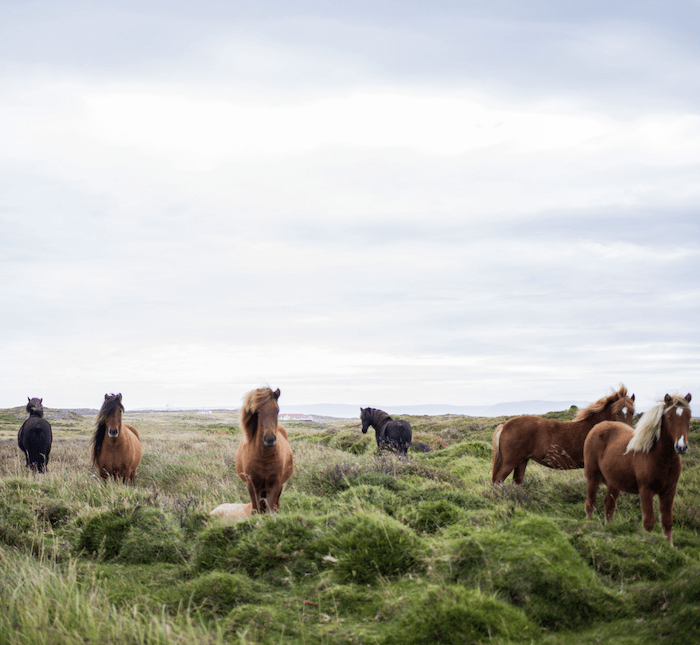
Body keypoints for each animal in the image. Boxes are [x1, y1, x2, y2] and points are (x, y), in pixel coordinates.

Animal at [492, 382, 636, 484]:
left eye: (632, 412)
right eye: (617, 412)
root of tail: (505, 425)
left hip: (522, 461)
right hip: (510, 462)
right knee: (498, 481)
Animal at [584, 392, 692, 544]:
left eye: (688, 417)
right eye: (669, 418)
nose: (681, 447)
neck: (659, 457)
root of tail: (598, 427)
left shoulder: (669, 491)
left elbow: (667, 521)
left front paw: (669, 546)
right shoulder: (646, 490)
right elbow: (649, 521)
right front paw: (648, 543)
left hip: (614, 483)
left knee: (609, 504)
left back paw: (609, 528)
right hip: (592, 477)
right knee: (590, 502)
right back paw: (588, 524)